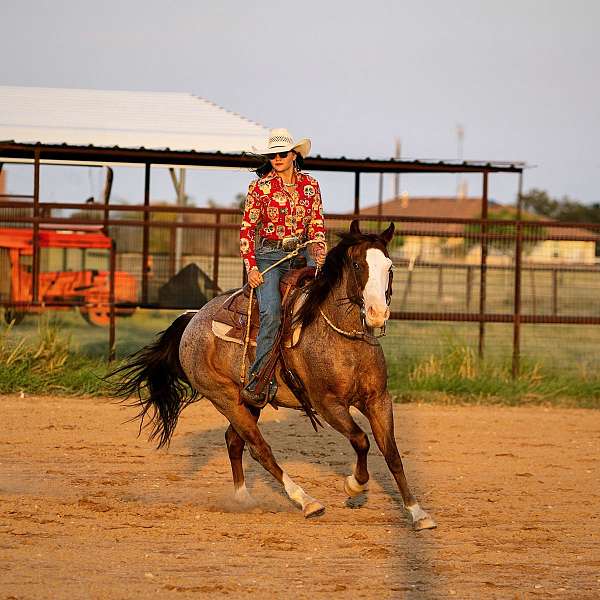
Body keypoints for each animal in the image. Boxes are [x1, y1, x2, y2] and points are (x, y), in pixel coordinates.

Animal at [110, 219, 434, 528]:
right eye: (357, 264)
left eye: (390, 267)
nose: (378, 314)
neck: (343, 338)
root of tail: (192, 318)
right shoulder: (327, 404)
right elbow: (361, 440)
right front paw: (354, 485)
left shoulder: (379, 399)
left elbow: (392, 454)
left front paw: (417, 513)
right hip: (225, 398)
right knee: (259, 449)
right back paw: (306, 501)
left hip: (250, 400)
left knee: (234, 441)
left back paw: (243, 497)